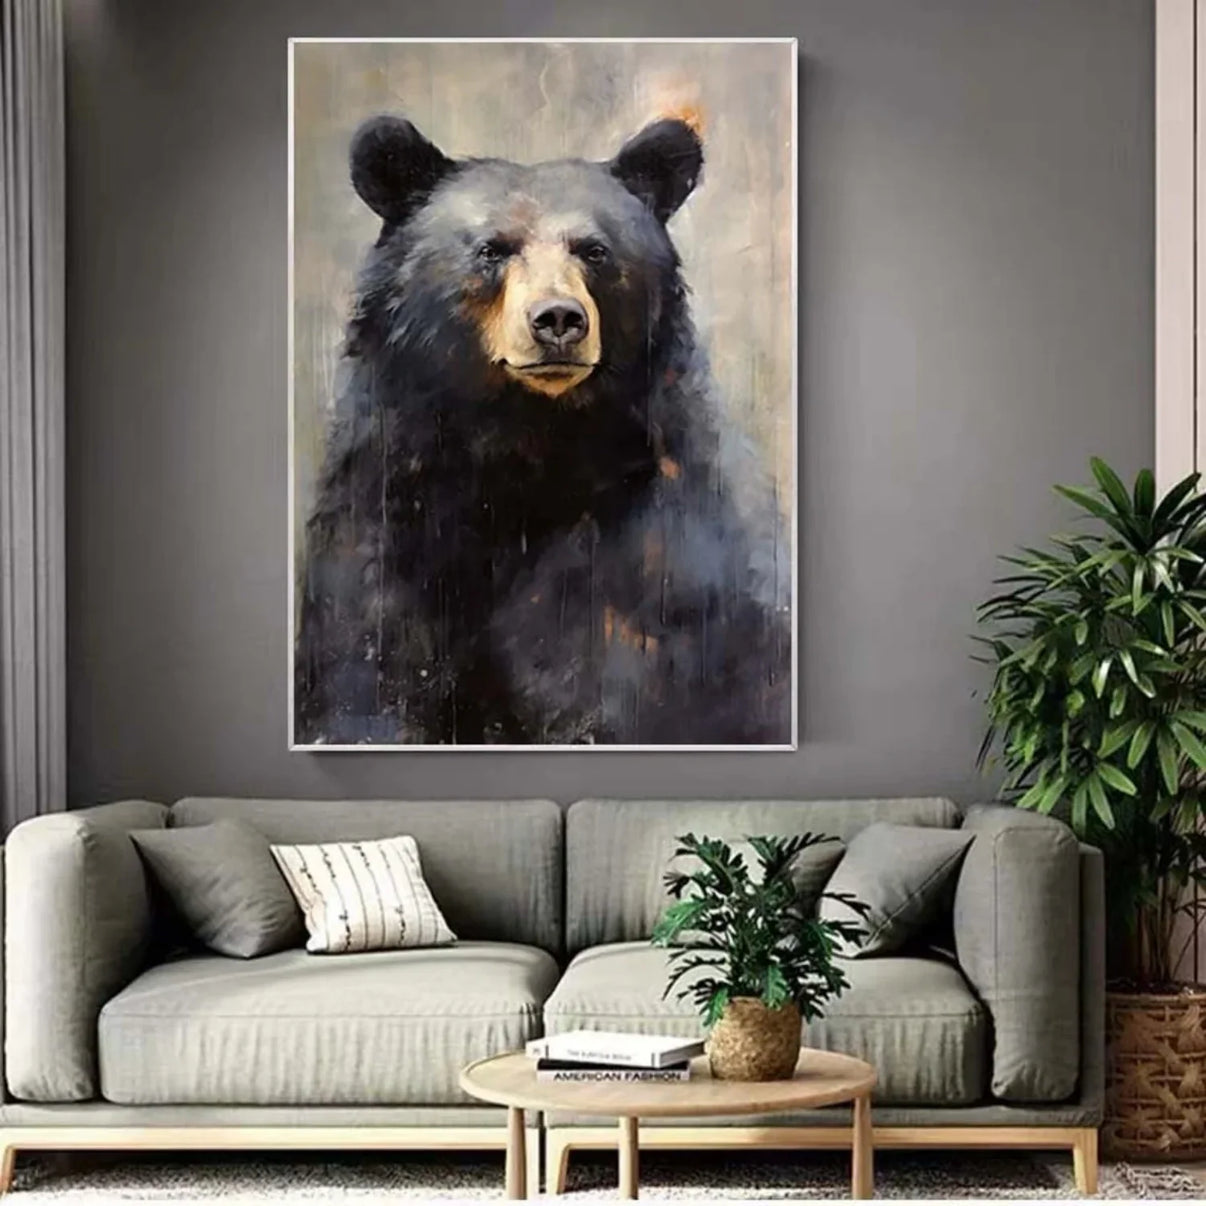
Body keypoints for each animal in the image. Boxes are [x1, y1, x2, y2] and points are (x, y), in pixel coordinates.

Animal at [294, 114, 792, 746]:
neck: (526, 450)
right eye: (491, 250)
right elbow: (363, 677)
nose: (558, 319)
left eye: (595, 250)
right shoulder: (384, 516)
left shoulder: (663, 563)